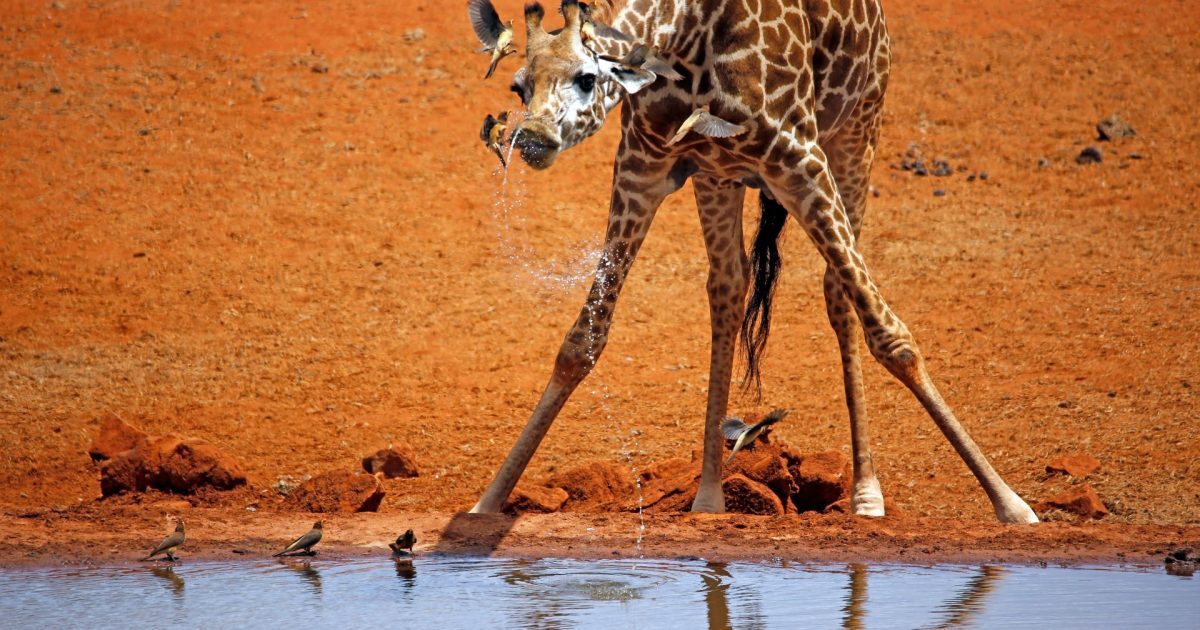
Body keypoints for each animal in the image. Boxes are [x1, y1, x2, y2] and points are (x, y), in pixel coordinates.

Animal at [464, 0, 1039, 524]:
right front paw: (487, 502)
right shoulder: (643, 165)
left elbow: (892, 337)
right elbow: (580, 343)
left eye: (587, 79)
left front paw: (1011, 503)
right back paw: (710, 496)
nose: (532, 139)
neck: (684, 37)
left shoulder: (801, 159)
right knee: (729, 286)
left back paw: (866, 493)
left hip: (857, 132)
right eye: (518, 87)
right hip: (718, 176)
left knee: (838, 292)